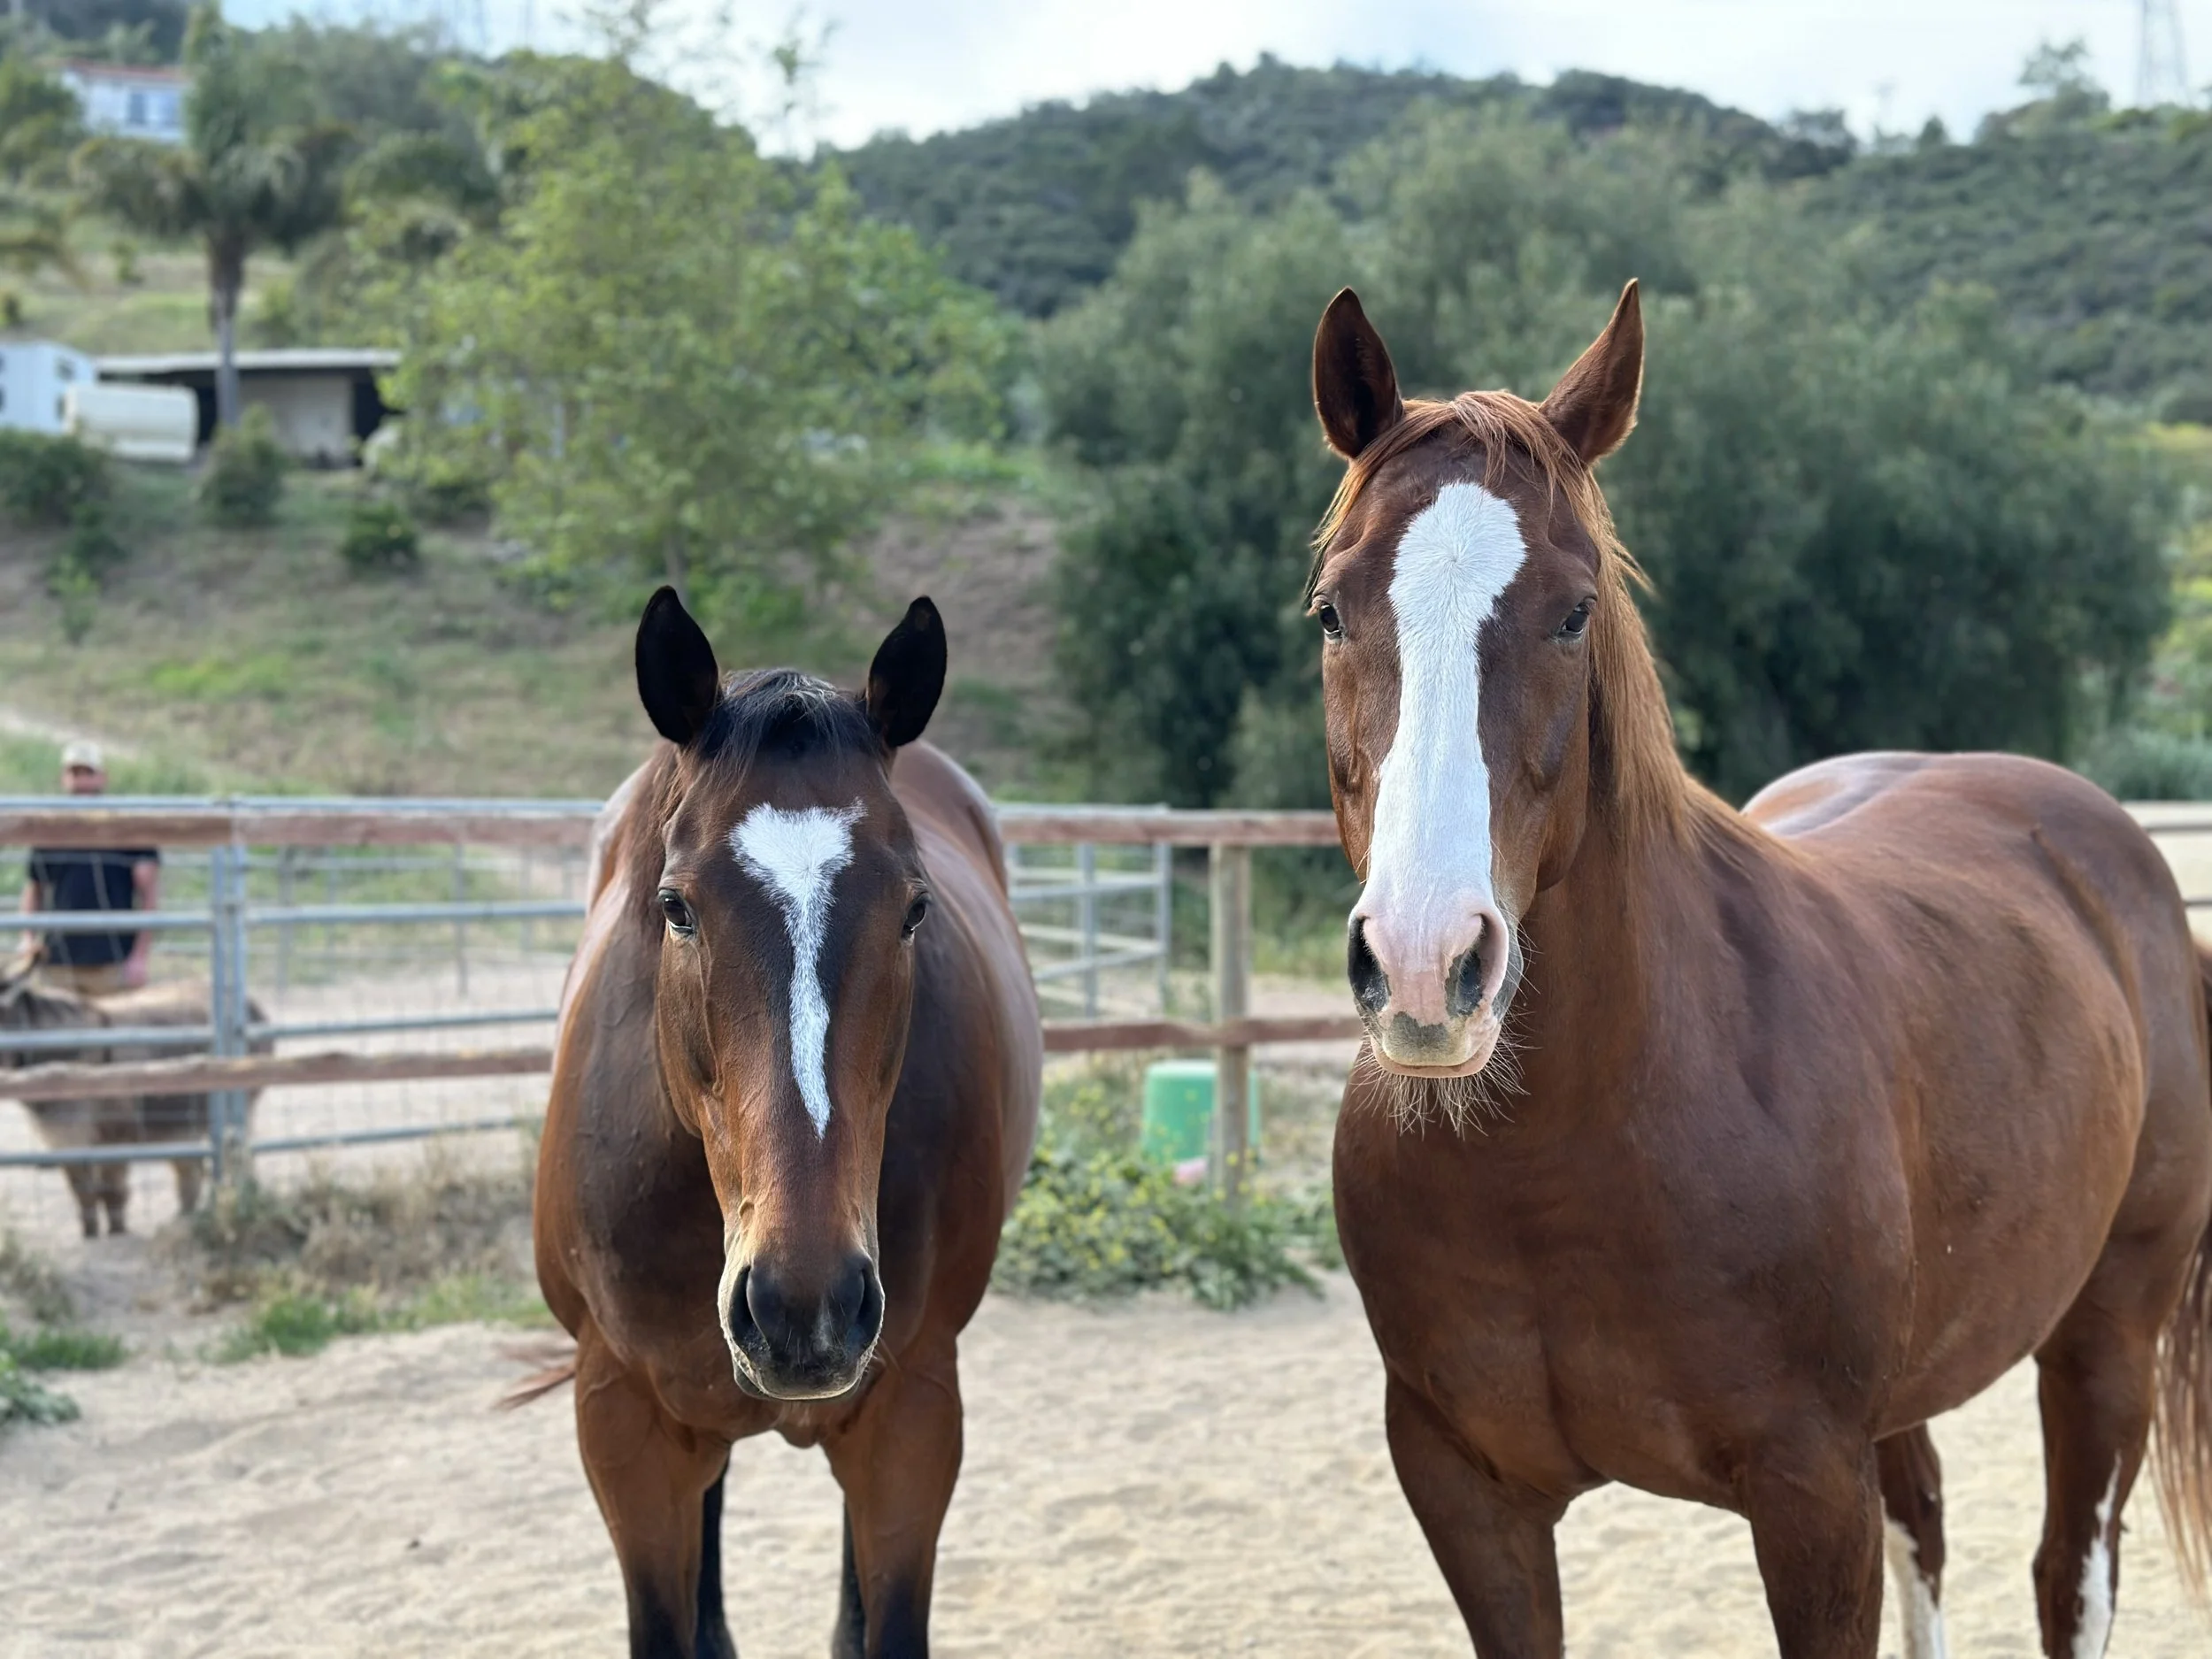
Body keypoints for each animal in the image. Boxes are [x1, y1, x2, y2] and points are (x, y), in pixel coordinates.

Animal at [0, 956, 268, 1237]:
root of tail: (248, 1001)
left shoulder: (112, 1137)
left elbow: (112, 1191)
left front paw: (116, 1232)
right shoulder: (64, 1140)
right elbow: (83, 1193)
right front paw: (90, 1234)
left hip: (233, 1110)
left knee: (240, 1162)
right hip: (184, 1124)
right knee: (192, 1172)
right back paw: (184, 1220)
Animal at [1305, 279, 2212, 1658]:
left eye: (1572, 611)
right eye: (1331, 610)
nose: (1424, 963)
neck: (1558, 1161)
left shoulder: (1808, 1498)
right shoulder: (1466, 1489)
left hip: (2108, 1331)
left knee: (2072, 1572)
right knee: (1928, 1521)